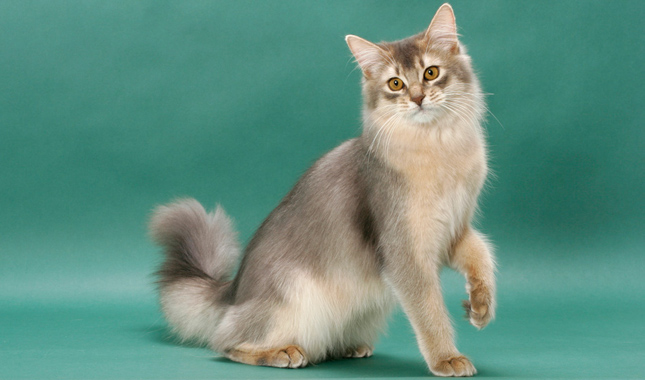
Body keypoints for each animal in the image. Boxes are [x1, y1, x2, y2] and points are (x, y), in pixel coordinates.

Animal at [150, 2, 494, 378]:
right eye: (396, 84)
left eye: (431, 73)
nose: (418, 98)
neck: (440, 148)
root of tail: (234, 291)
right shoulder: (404, 248)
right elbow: (429, 311)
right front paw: (446, 358)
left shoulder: (454, 228)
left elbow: (482, 254)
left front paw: (481, 305)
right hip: (291, 294)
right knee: (225, 342)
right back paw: (282, 352)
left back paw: (348, 347)